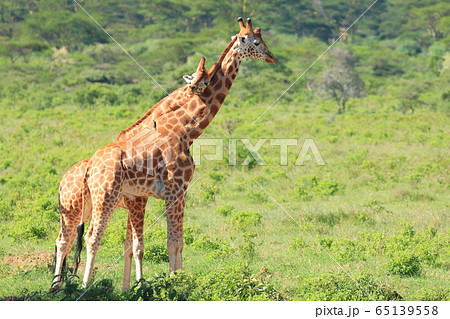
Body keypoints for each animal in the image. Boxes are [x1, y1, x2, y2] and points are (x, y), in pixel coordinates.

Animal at [54, 17, 276, 292]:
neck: (184, 131)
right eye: (255, 42)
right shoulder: (173, 191)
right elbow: (169, 242)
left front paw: (159, 283)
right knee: (89, 237)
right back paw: (83, 286)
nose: (272, 57)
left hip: (84, 205)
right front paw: (173, 284)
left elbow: (158, 244)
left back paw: (59, 285)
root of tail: (88, 167)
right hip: (101, 197)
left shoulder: (162, 195)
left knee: (66, 238)